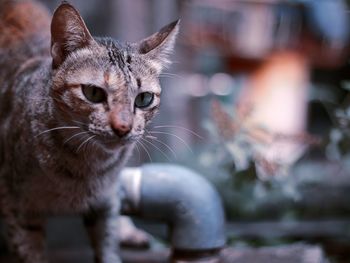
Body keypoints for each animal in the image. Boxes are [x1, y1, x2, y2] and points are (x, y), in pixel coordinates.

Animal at [0, 1, 179, 262]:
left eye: (144, 99)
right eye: (93, 93)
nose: (123, 127)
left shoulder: (105, 202)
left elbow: (107, 241)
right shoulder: (16, 205)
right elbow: (29, 252)